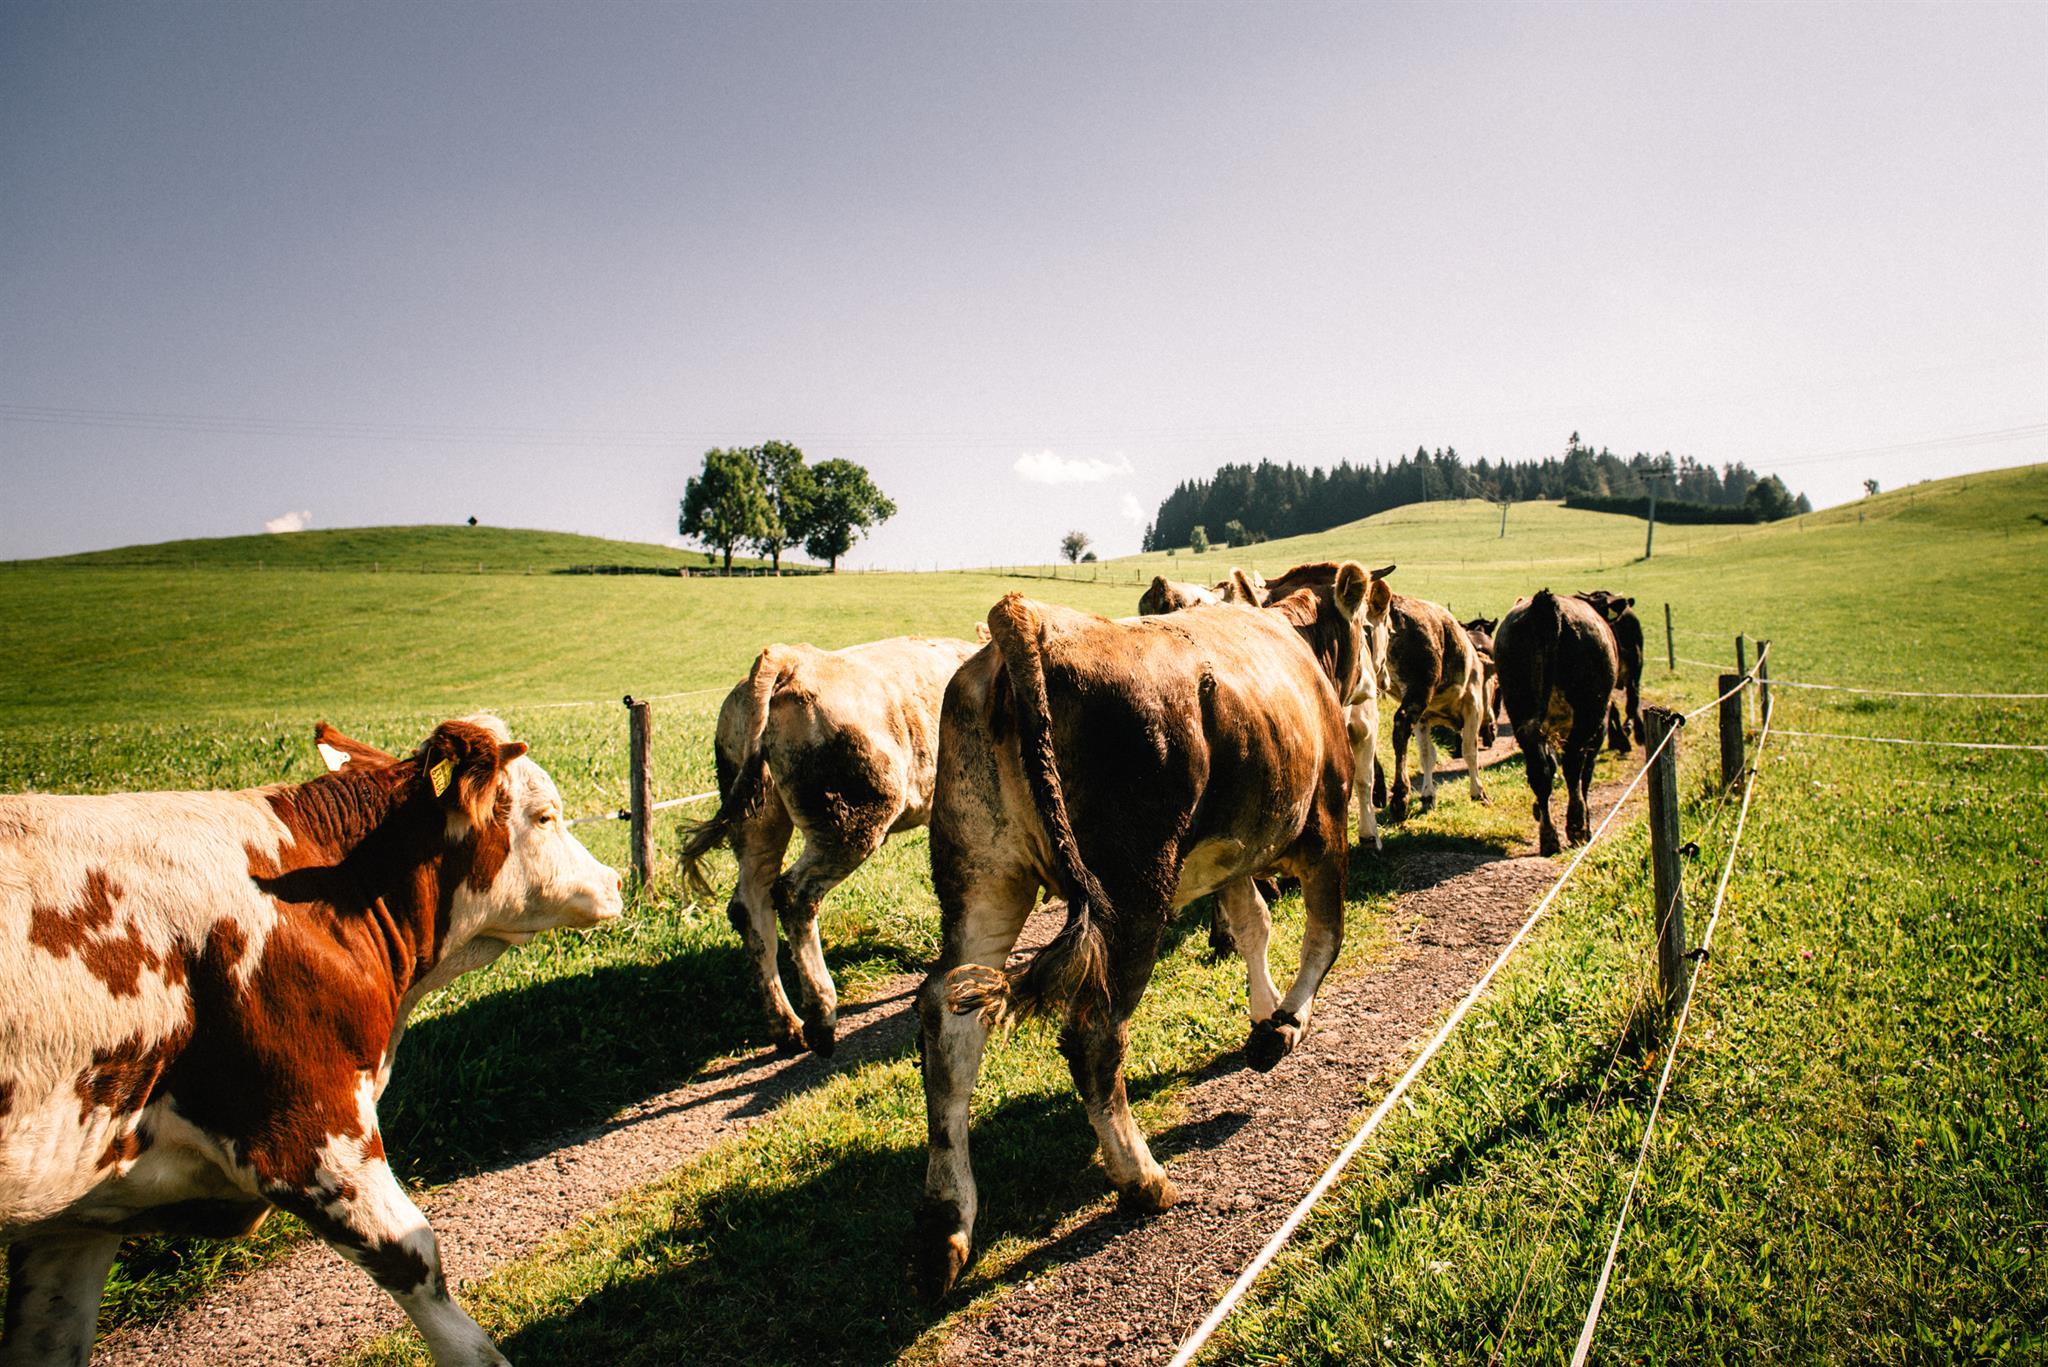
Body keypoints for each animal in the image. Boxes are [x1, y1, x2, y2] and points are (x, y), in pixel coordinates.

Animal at [0, 717, 622, 1367]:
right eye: (546, 816)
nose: (615, 880)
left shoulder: (72, 1221)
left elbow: (50, 1338)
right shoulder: (310, 1130)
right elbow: (414, 1257)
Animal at [679, 636, 981, 1057]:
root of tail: (791, 659)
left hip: (757, 816)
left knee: (749, 905)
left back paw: (786, 1027)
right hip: (850, 818)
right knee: (794, 895)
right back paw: (822, 1017)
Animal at [910, 565, 1376, 1300]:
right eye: (1367, 622)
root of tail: (1030, 618)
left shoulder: (1228, 852)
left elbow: (1254, 925)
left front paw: (1263, 1009)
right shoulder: (1324, 824)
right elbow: (1325, 938)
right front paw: (1282, 1028)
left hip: (983, 879)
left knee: (949, 1022)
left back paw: (946, 1227)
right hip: (1131, 894)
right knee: (1095, 1035)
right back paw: (1142, 1178)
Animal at [1379, 596, 1496, 820]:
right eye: (1494, 685)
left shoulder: (1423, 719)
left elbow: (1427, 756)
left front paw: (1428, 796)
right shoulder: (1473, 708)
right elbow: (1470, 751)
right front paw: (1478, 792)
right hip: (1419, 688)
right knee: (1401, 724)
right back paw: (1399, 797)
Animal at [1494, 591, 1619, 856]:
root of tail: (1546, 603)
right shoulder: (1599, 728)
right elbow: (1585, 775)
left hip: (1520, 707)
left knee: (1539, 771)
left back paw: (1549, 835)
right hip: (1587, 712)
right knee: (1573, 766)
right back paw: (1576, 828)